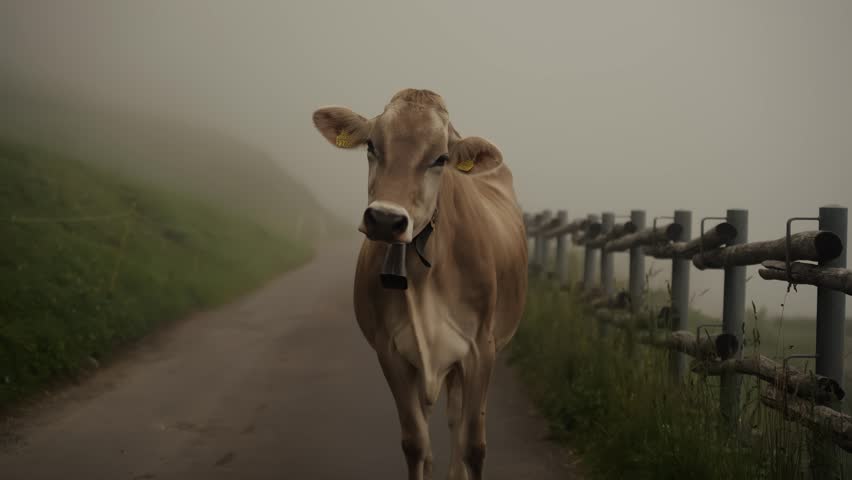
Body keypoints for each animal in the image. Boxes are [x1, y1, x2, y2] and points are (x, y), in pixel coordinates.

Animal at [312, 89, 528, 480]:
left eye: (440, 158)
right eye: (372, 145)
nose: (385, 219)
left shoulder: (481, 350)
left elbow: (474, 446)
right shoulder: (391, 351)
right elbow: (415, 441)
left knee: (458, 420)